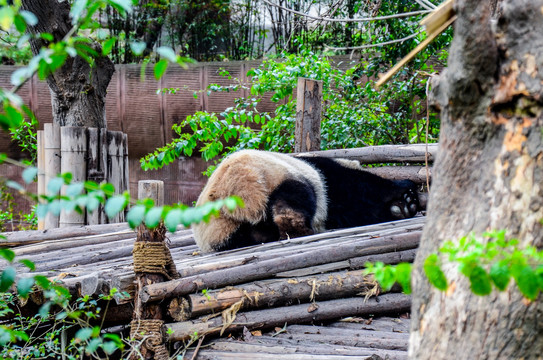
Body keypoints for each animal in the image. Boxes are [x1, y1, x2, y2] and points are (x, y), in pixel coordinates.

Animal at [192, 150, 420, 252]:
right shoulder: (330, 178)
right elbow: (361, 192)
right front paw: (406, 197)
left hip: (229, 232)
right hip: (279, 175)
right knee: (295, 197)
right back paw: (300, 230)